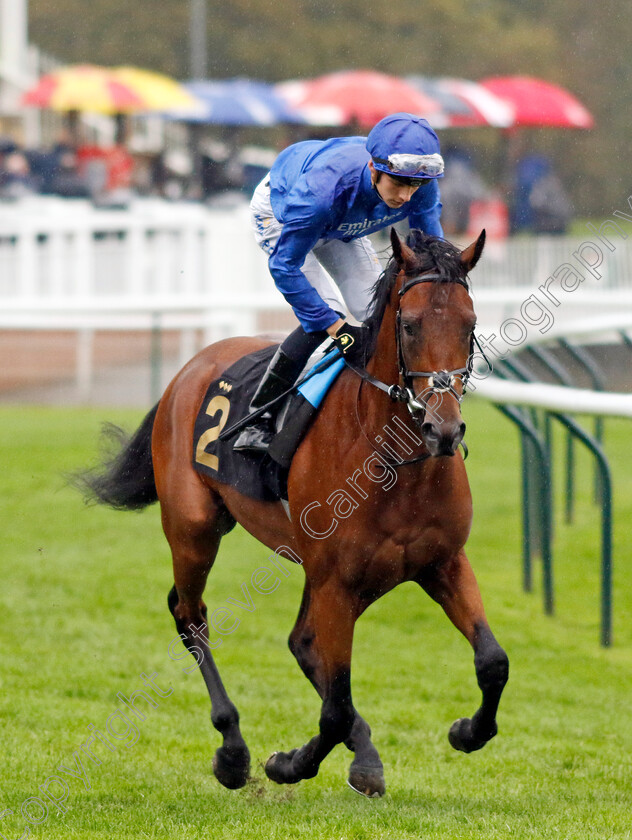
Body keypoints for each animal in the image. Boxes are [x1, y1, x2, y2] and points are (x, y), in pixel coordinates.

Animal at [82, 226, 508, 796]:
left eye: (470, 324)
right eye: (410, 325)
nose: (444, 430)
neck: (395, 460)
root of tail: (191, 367)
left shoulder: (441, 563)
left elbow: (493, 662)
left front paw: (466, 731)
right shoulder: (337, 580)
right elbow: (335, 706)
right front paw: (289, 763)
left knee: (302, 642)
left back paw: (362, 754)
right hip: (196, 528)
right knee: (190, 614)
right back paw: (233, 750)